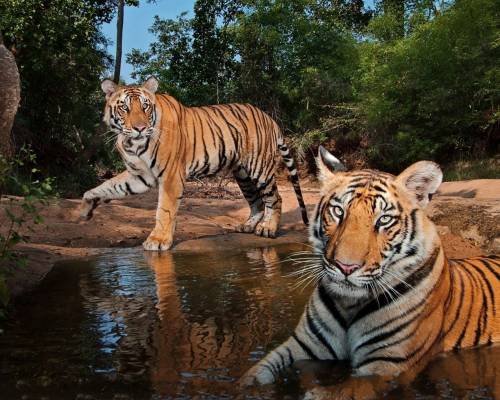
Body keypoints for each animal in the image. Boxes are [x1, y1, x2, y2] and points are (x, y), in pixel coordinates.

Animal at [79, 77, 306, 250]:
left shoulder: (170, 176)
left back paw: (268, 229)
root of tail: (269, 117)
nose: (140, 128)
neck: (133, 143)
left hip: (260, 168)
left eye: (145, 106)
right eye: (124, 108)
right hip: (242, 174)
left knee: (275, 198)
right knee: (256, 200)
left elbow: (164, 210)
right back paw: (249, 226)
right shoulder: (140, 176)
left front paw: (158, 240)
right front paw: (85, 208)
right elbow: (107, 186)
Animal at [240, 145, 498, 396]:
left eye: (383, 220)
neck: (349, 304)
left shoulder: (386, 364)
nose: (346, 266)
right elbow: (256, 372)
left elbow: (342, 392)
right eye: (338, 211)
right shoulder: (304, 345)